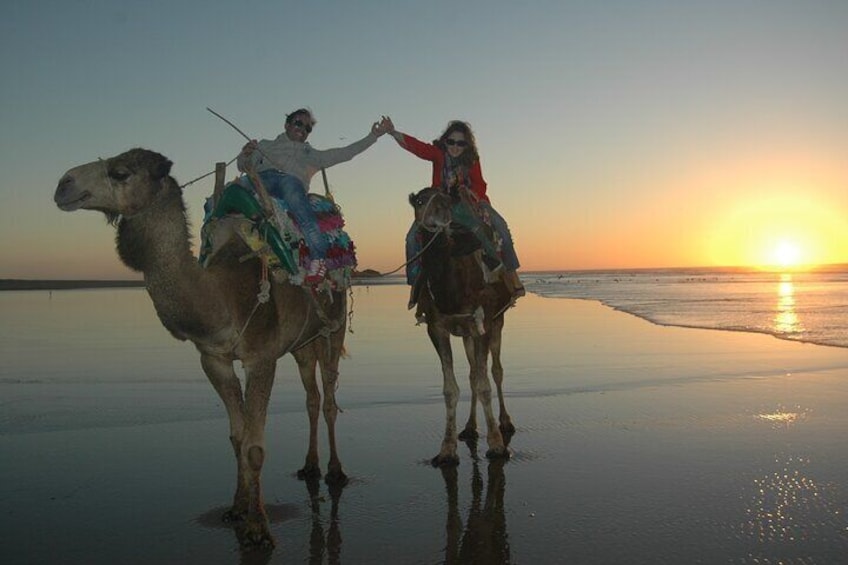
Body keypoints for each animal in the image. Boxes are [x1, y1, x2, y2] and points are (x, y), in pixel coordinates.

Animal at [52, 149, 348, 548]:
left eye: (120, 172)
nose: (63, 184)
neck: (219, 298)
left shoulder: (260, 358)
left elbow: (254, 447)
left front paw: (259, 529)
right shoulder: (214, 359)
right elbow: (237, 437)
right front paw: (237, 510)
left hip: (334, 326)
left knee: (329, 397)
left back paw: (335, 471)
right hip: (303, 341)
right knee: (312, 397)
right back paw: (310, 466)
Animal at [408, 187, 512, 464]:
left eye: (447, 200)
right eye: (420, 201)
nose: (442, 215)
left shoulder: (482, 323)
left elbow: (485, 384)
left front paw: (497, 445)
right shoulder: (437, 328)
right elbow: (450, 388)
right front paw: (447, 448)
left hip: (497, 321)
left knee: (496, 370)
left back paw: (506, 423)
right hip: (465, 334)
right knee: (474, 372)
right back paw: (469, 427)